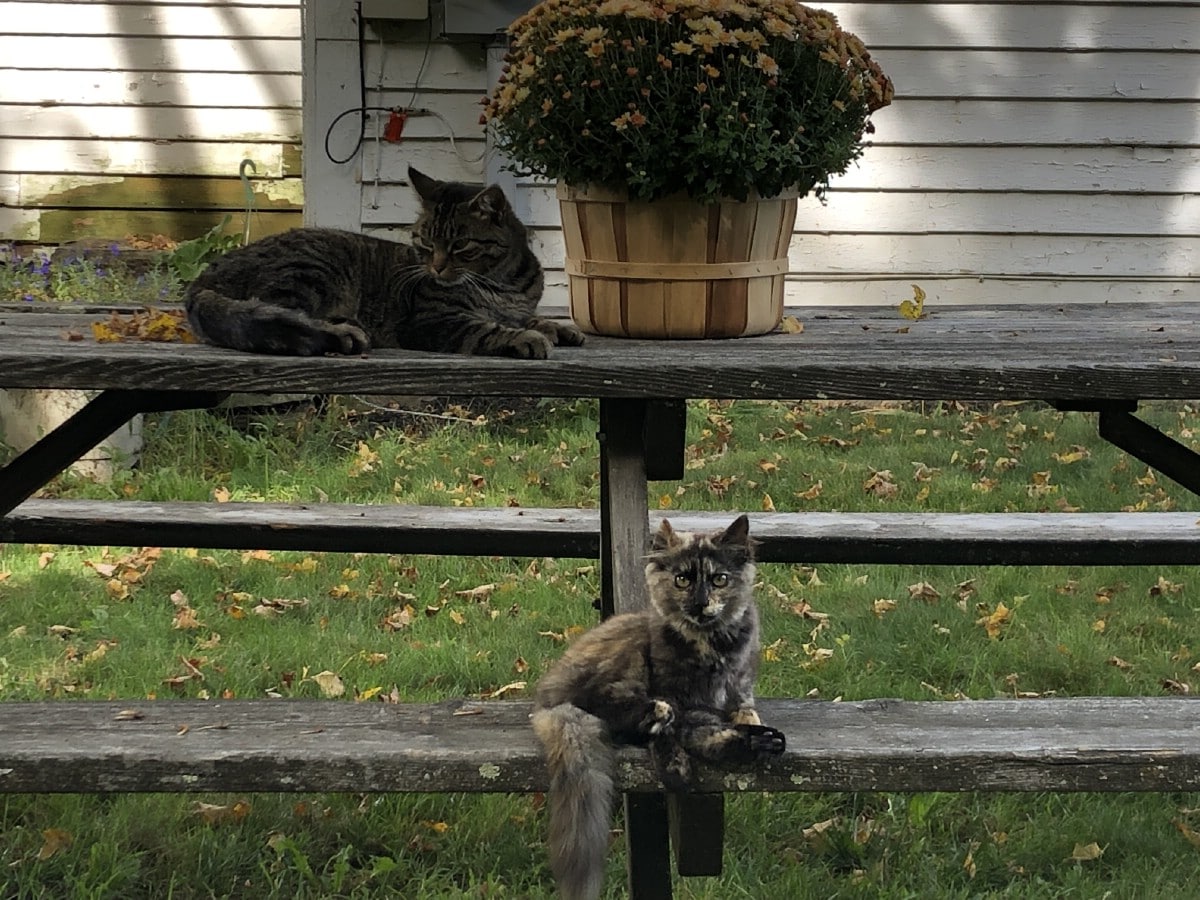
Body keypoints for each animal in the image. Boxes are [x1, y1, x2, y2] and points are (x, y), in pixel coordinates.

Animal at [181, 168, 585, 357]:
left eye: (459, 245)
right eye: (425, 242)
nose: (436, 268)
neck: (504, 282)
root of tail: (206, 275)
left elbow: (531, 317)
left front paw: (558, 328)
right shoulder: (432, 321)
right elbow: (487, 328)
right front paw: (527, 337)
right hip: (311, 269)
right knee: (284, 317)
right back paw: (342, 331)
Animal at [535, 513, 787, 900]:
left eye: (719, 579)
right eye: (682, 580)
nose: (700, 603)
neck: (708, 644)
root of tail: (548, 698)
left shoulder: (739, 687)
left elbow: (741, 711)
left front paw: (751, 735)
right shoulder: (672, 692)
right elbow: (678, 729)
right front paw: (677, 765)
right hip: (624, 661)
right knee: (609, 708)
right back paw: (659, 724)